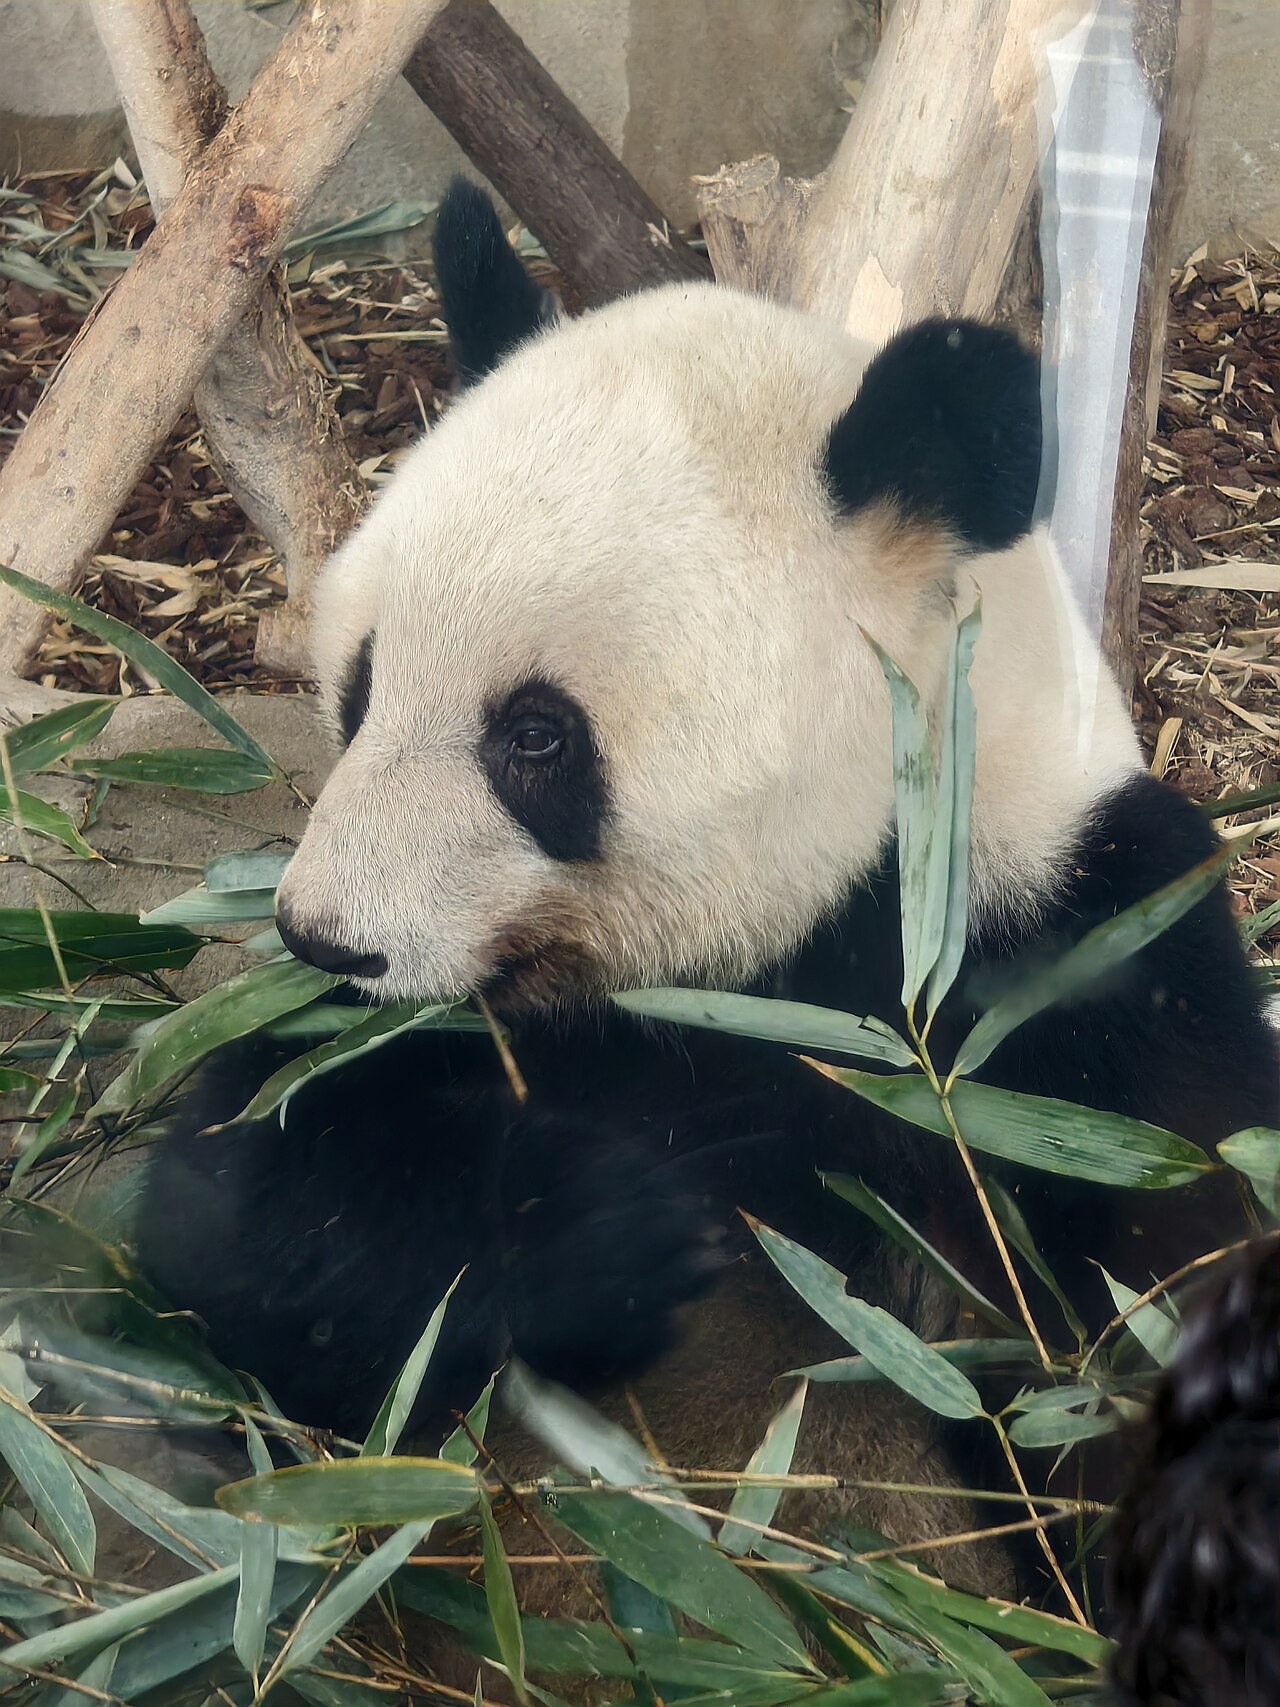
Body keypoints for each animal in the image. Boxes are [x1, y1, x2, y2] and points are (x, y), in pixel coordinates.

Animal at [136, 179, 1277, 1654]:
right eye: (362, 682)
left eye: (535, 736)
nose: (324, 937)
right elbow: (237, 1212)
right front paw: (614, 1226)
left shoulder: (1082, 958)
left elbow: (1166, 1284)